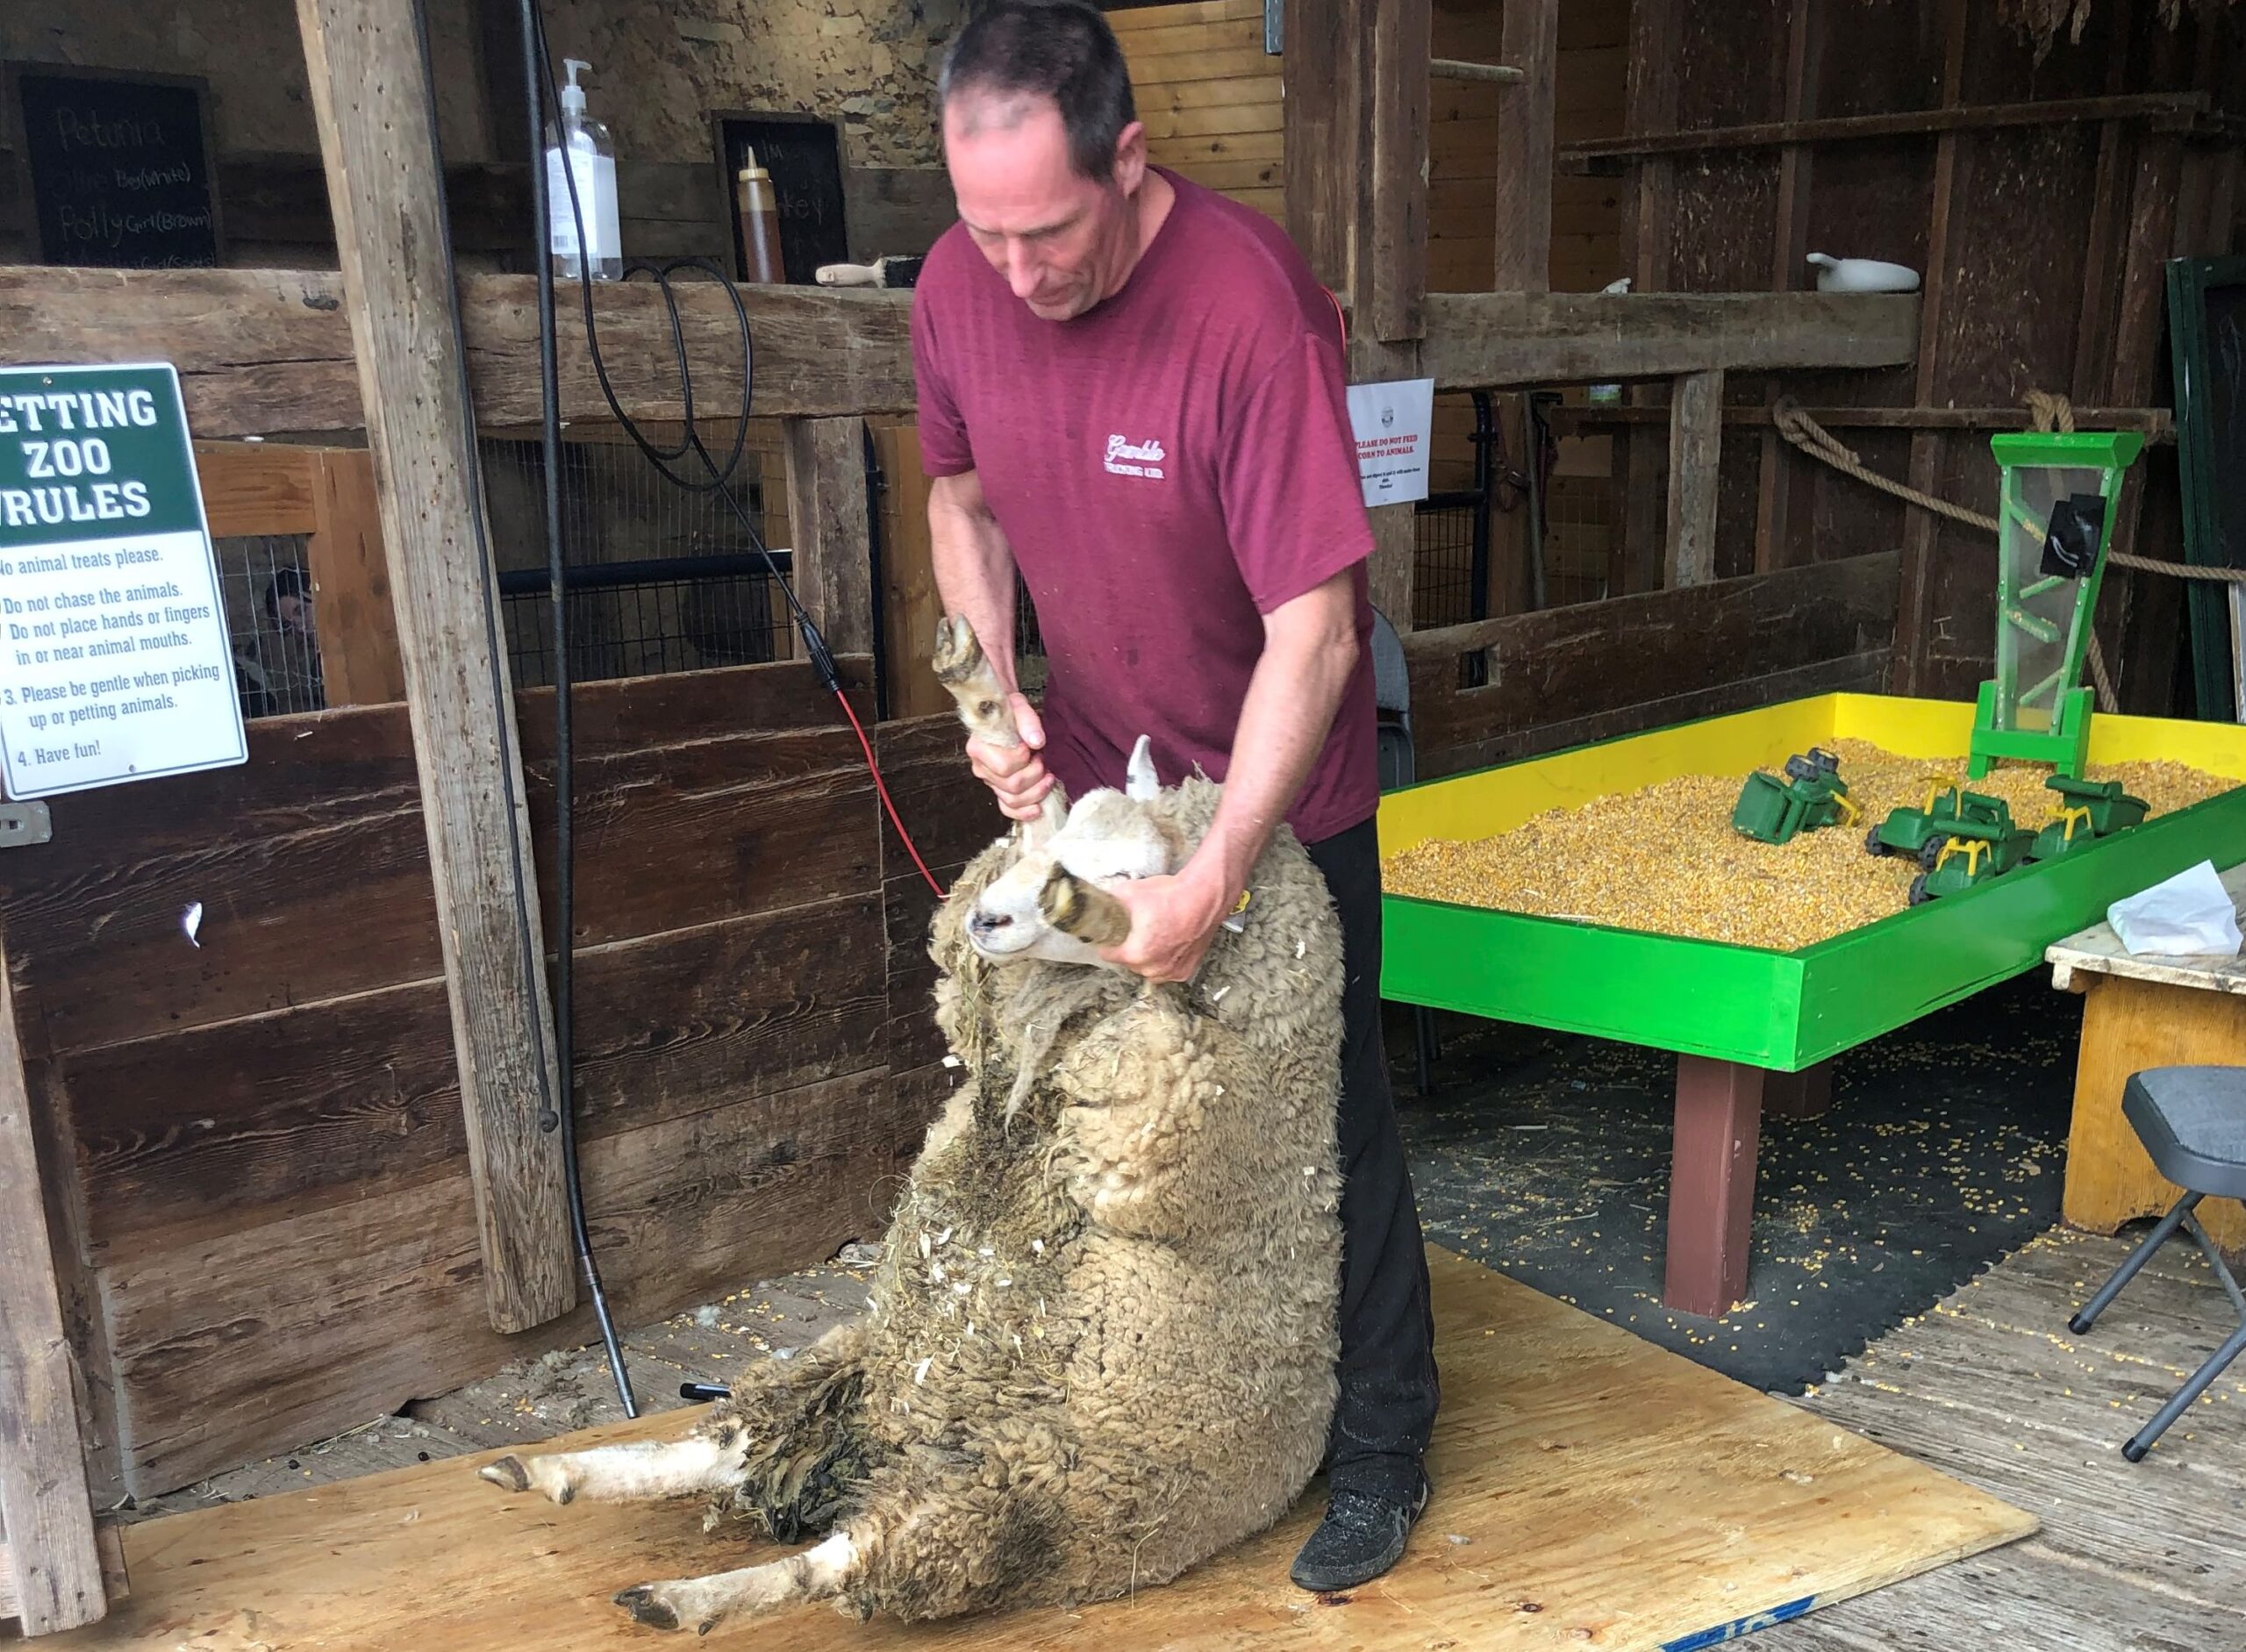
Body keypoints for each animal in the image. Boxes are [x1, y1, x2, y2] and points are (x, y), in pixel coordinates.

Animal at [476, 615, 1338, 1634]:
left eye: (1135, 871)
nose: (989, 916)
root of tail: (889, 1441)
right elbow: (1025, 816)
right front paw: (983, 700)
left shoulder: (1169, 1113)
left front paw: (1087, 908)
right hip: (849, 1372)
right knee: (723, 1447)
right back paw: (552, 1470)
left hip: (1005, 1494)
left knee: (833, 1559)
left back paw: (679, 1595)